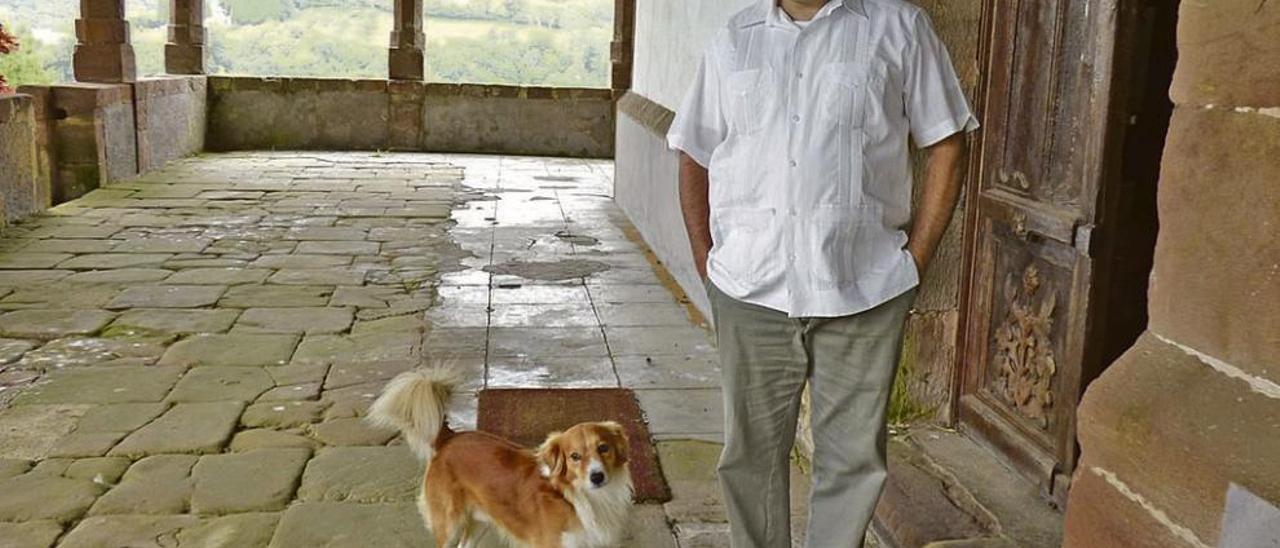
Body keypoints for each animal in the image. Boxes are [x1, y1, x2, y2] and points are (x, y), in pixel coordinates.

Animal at [368, 368, 632, 548]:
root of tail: (449, 437)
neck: (574, 497)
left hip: (480, 519)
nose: (597, 477)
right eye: (574, 456)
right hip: (449, 523)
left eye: (603, 448)